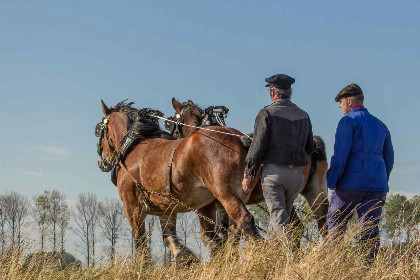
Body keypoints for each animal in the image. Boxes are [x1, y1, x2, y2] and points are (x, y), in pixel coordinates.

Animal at [96, 99, 262, 262]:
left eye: (99, 130)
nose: (101, 161)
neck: (133, 146)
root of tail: (240, 137)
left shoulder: (133, 207)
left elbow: (140, 244)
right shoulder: (167, 210)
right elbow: (170, 238)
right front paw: (187, 259)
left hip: (226, 194)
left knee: (244, 221)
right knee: (236, 231)